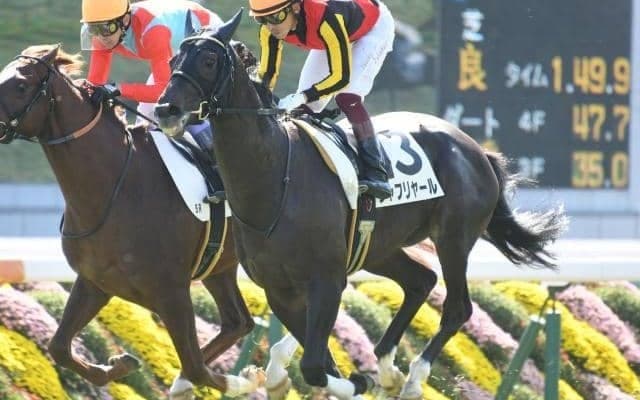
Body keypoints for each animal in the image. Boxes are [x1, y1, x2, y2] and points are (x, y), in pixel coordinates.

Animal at [0, 44, 266, 399]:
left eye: (20, 85)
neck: (116, 186)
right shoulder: (95, 282)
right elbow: (59, 348)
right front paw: (121, 364)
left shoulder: (172, 293)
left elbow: (196, 367)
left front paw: (249, 381)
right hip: (218, 266)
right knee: (238, 322)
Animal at [155, 11, 567, 400]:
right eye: (174, 57)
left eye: (209, 60)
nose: (165, 109)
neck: (272, 180)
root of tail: (474, 148)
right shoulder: (277, 286)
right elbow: (317, 357)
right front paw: (296, 377)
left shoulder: (327, 278)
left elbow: (315, 366)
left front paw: (353, 382)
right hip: (378, 246)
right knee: (420, 281)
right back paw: (386, 367)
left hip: (453, 239)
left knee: (457, 307)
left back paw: (412, 379)